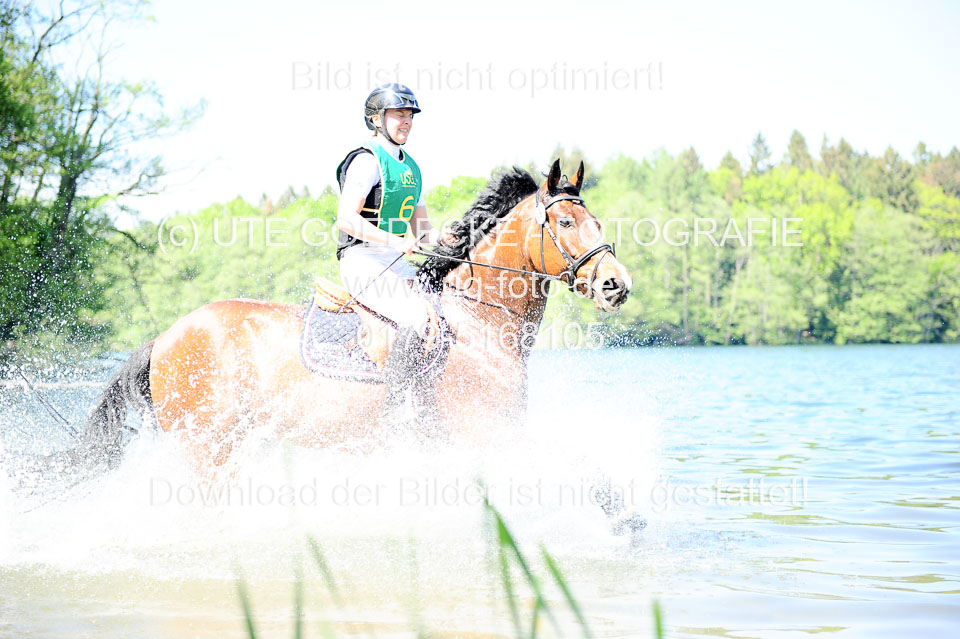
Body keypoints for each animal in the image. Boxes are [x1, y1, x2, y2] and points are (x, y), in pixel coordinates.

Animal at [40, 159, 632, 480]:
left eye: (597, 220)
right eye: (563, 222)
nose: (616, 284)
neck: (481, 327)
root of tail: (166, 336)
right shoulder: (487, 436)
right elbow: (580, 470)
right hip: (209, 447)